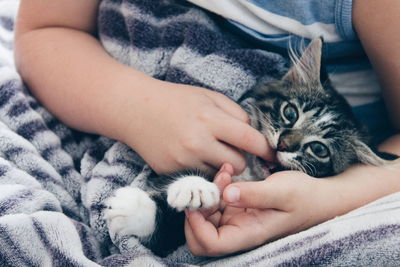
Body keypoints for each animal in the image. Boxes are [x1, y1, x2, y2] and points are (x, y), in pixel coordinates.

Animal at [103, 38, 396, 258]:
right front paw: (194, 186)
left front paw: (134, 210)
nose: (283, 144)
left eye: (319, 150)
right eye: (290, 112)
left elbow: (167, 234)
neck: (250, 174)